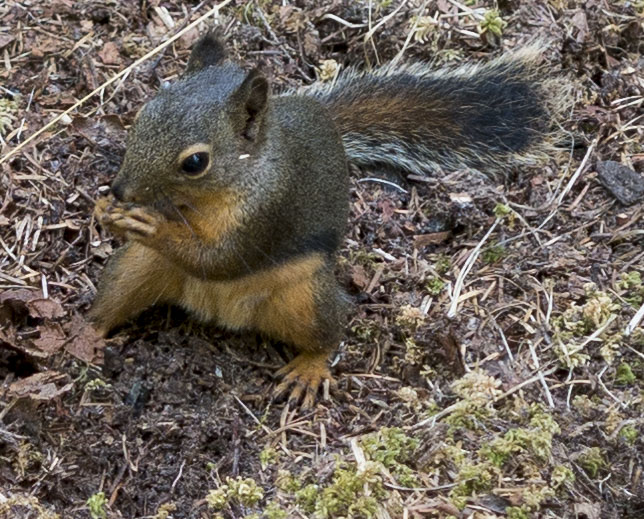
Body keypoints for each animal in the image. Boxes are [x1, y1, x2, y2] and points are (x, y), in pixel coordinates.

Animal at [90, 30, 571, 408]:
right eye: (141, 116)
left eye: (195, 163)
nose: (121, 190)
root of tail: (216, 313)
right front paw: (104, 210)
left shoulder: (269, 209)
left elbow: (221, 258)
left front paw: (153, 225)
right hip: (136, 268)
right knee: (112, 300)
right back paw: (86, 336)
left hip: (306, 299)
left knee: (328, 332)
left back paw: (310, 369)